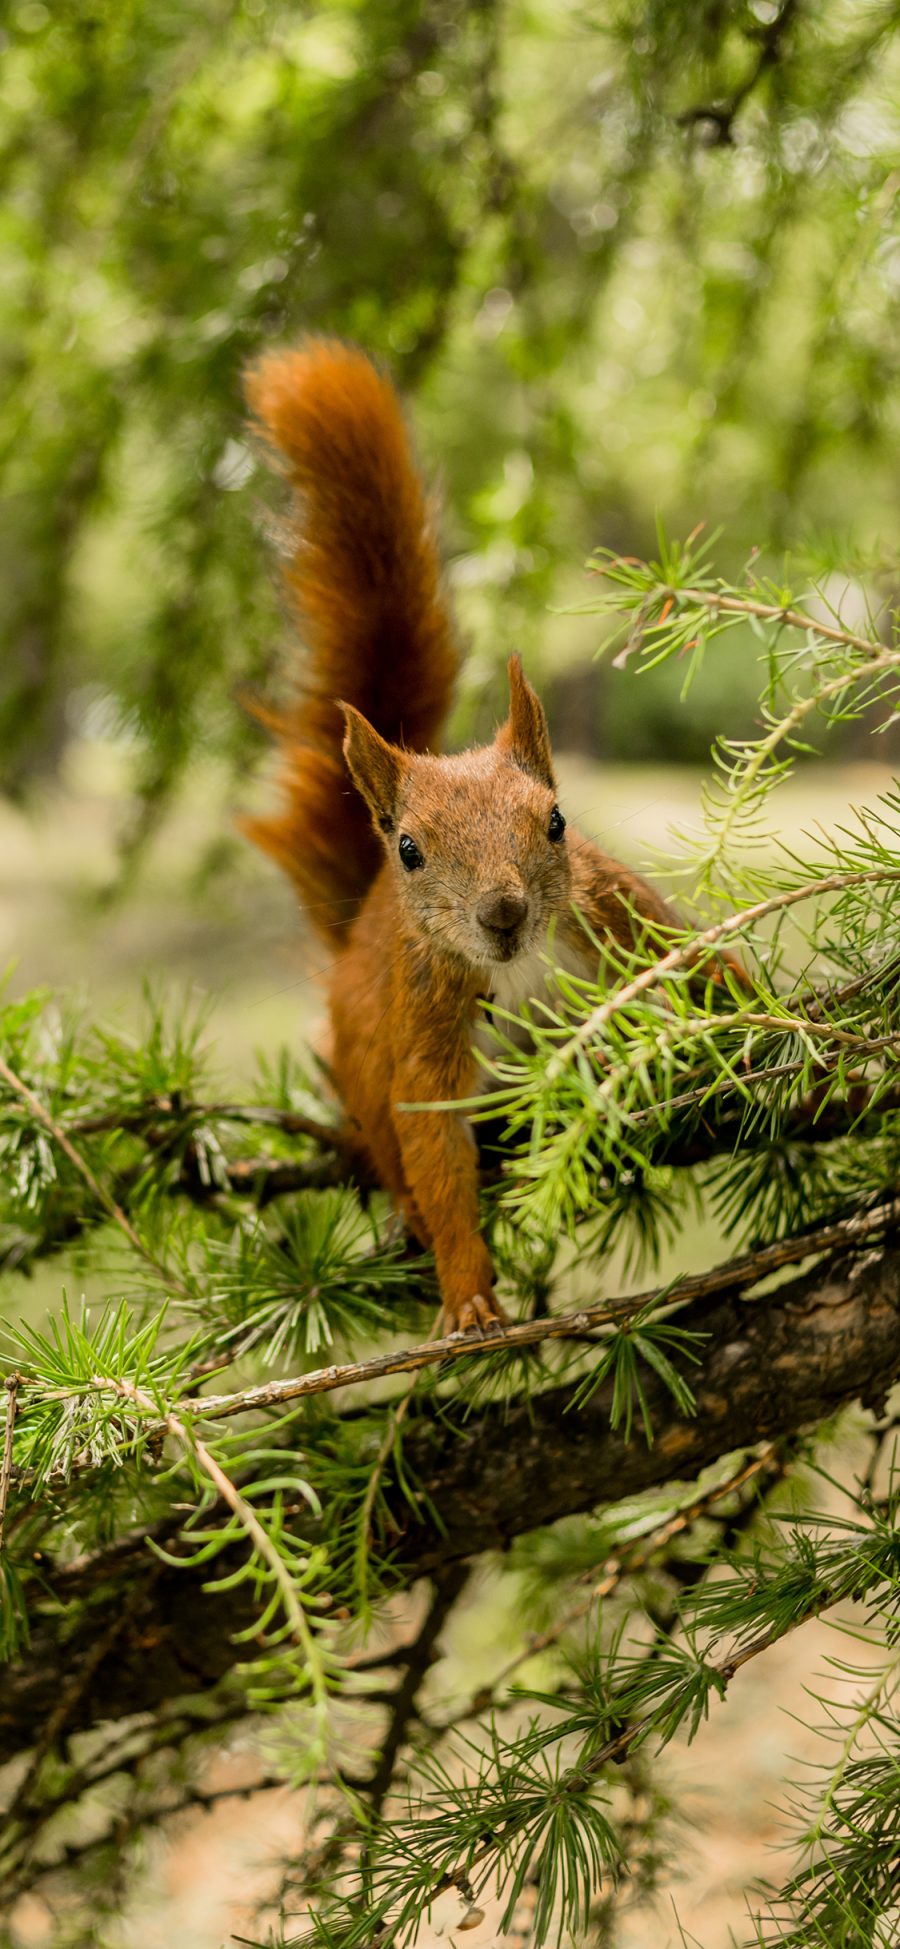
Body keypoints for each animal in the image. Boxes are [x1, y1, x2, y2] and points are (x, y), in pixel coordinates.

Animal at [242, 343, 677, 1333]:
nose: (504, 913)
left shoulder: (619, 910)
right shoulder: (427, 1019)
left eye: (556, 820)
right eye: (410, 848)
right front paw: (470, 1291)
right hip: (361, 1050)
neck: (515, 968)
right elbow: (435, 1148)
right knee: (389, 1144)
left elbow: (707, 965)